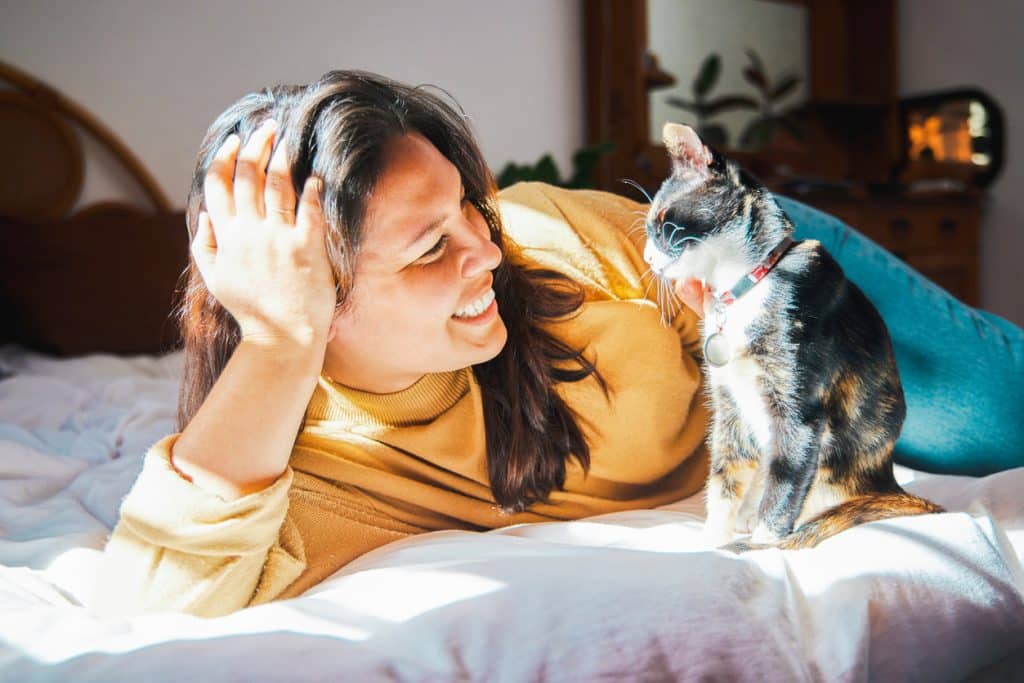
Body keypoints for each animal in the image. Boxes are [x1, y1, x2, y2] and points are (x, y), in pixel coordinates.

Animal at [643, 121, 937, 548]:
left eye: (664, 224)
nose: (648, 258)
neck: (743, 288)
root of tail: (886, 480)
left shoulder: (800, 412)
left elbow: (784, 480)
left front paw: (763, 544)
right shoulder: (729, 407)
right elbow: (723, 476)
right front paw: (713, 539)